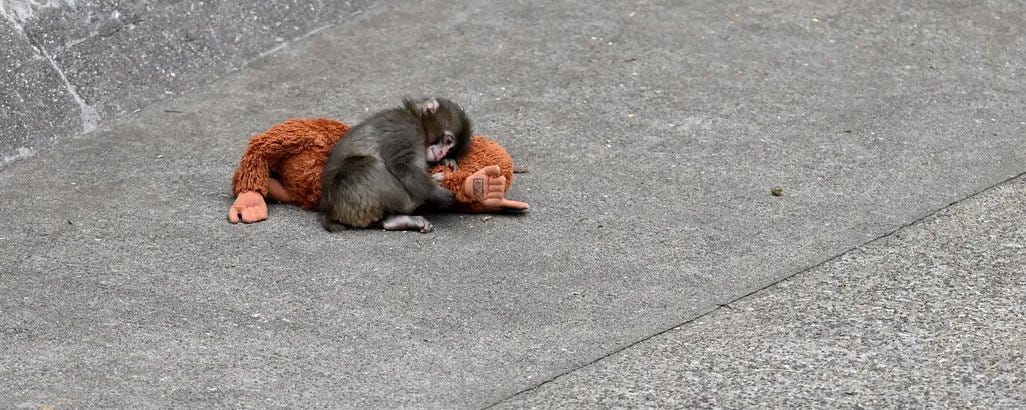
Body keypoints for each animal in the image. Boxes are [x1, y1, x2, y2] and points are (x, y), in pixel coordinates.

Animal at [319, 97, 472, 233]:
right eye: (448, 141)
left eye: (450, 150)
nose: (442, 154)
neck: (416, 118)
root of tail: (330, 210)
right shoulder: (407, 130)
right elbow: (402, 165)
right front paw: (436, 192)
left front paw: (447, 162)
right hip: (348, 195)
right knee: (369, 165)